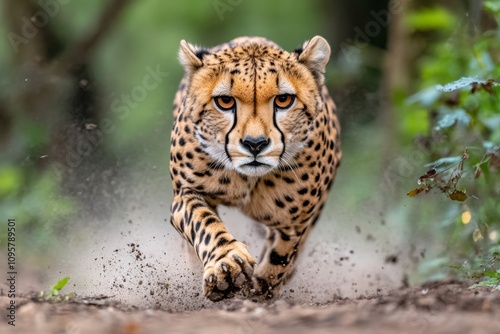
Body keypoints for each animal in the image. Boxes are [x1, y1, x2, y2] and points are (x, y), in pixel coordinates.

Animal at [170, 35, 342, 302]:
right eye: (225, 101)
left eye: (283, 100)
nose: (255, 144)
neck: (248, 180)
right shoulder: (185, 191)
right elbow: (203, 223)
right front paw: (226, 266)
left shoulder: (295, 222)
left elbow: (281, 254)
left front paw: (262, 286)